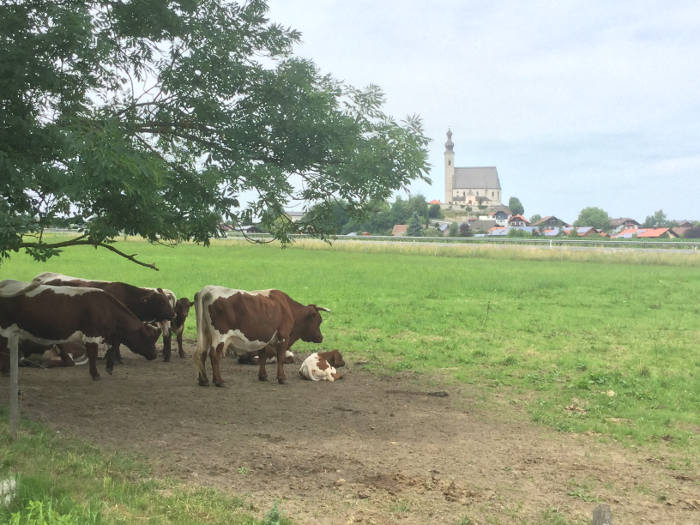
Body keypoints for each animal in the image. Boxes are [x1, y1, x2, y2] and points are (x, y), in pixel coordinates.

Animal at [0, 280, 159, 378]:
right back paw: (7, 371)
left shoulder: (108, 335)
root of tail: (7, 282)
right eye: (149, 338)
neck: (106, 307)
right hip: (5, 329)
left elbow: (112, 348)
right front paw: (95, 374)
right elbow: (93, 354)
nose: (154, 355)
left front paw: (109, 368)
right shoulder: (92, 334)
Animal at [31, 272, 175, 366]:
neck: (125, 297)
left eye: (165, 301)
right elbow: (115, 343)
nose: (173, 314)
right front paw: (116, 359)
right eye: (160, 302)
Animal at [193, 284, 330, 386]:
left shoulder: (264, 338)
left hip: (204, 333)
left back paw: (203, 380)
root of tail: (207, 290)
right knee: (213, 355)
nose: (321, 337)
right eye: (319, 321)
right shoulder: (283, 337)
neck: (287, 307)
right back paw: (219, 381)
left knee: (201, 353)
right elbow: (280, 357)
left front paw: (263, 376)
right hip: (220, 336)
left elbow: (263, 355)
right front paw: (282, 378)